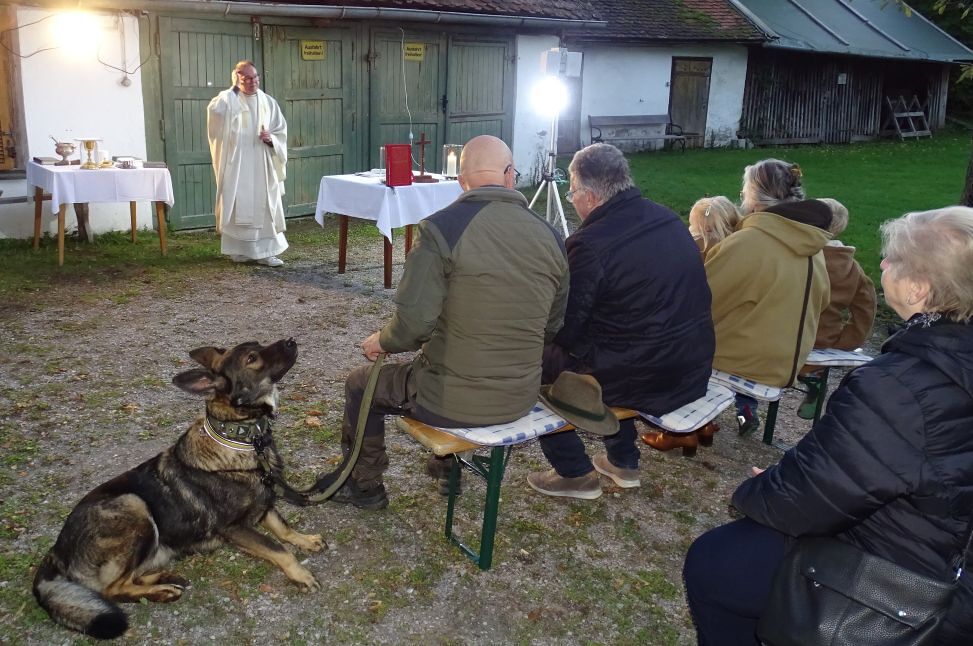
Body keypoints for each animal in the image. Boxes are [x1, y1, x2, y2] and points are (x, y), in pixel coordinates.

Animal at [33, 338, 323, 640]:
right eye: (252, 358)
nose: (291, 341)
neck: (244, 440)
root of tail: (55, 550)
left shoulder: (265, 500)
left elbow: (282, 528)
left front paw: (305, 539)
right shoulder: (235, 528)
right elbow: (277, 548)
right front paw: (301, 574)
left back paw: (164, 578)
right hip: (134, 506)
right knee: (112, 589)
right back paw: (162, 592)